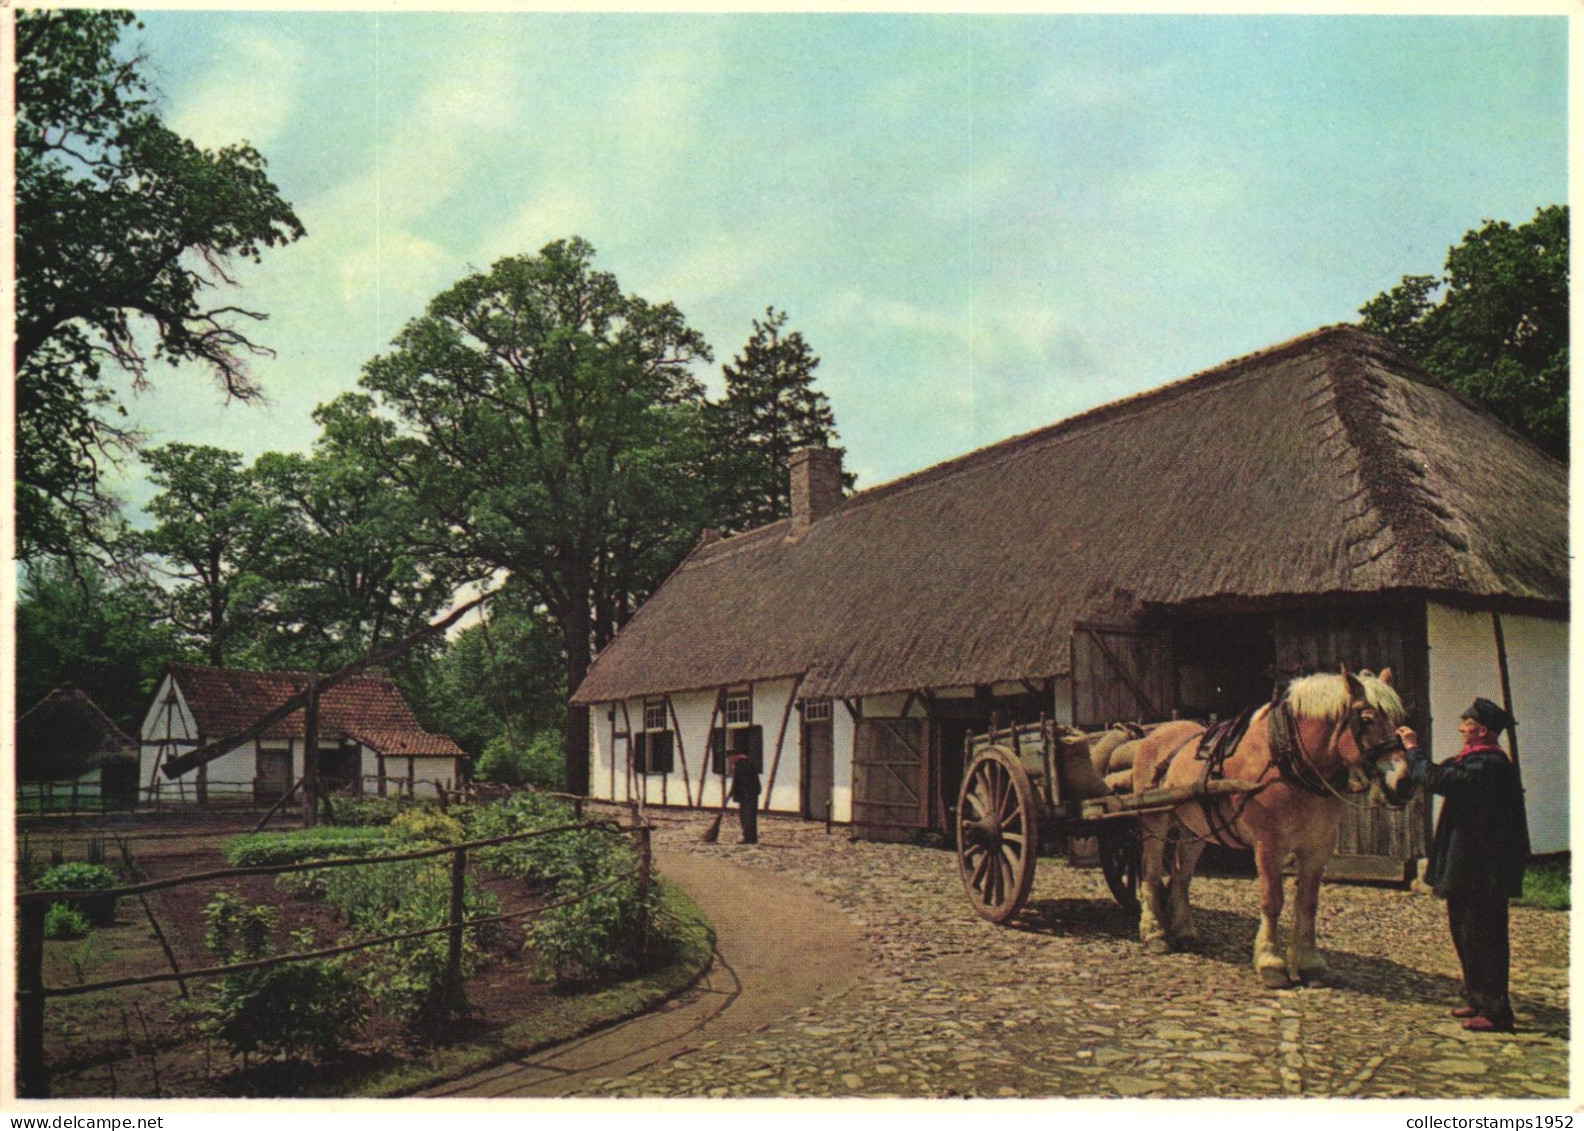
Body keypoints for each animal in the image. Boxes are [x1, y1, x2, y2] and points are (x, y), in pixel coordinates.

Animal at [1127, 665, 1412, 982]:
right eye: (1366, 719)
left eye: (1399, 721)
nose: (1404, 783)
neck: (1287, 763)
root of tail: (1153, 734)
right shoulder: (1268, 844)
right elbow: (1272, 900)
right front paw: (1270, 961)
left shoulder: (1318, 848)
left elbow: (1308, 903)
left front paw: (1308, 961)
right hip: (1155, 821)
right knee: (1151, 872)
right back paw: (1154, 933)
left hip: (1195, 830)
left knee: (1181, 876)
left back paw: (1184, 930)